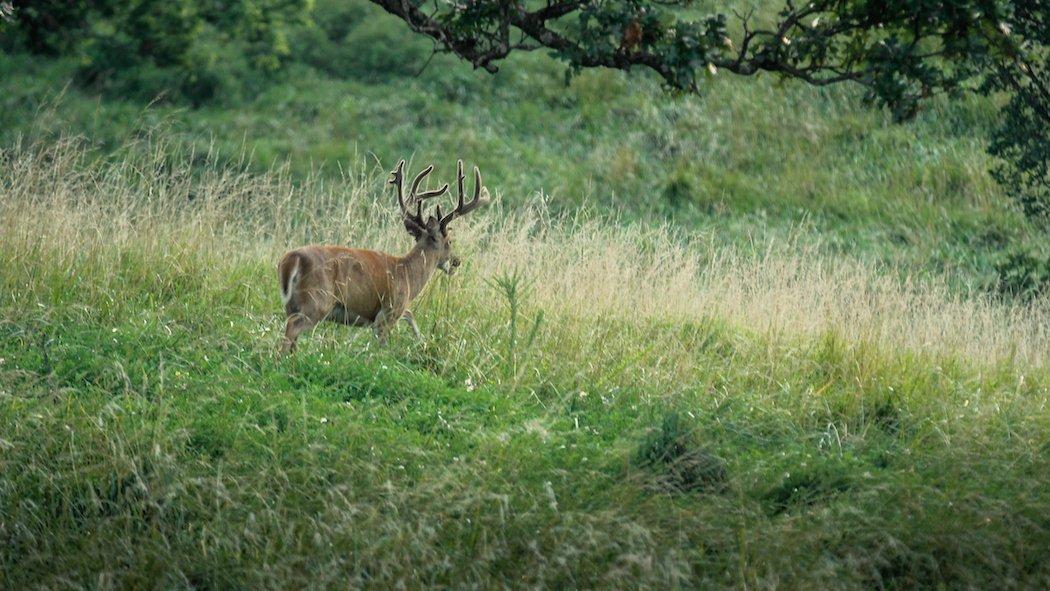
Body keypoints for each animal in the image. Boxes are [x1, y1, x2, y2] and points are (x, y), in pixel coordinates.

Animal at [279, 159, 491, 356]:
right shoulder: (390, 310)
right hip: (317, 301)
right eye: (450, 241)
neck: (408, 274)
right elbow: (383, 345)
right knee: (292, 328)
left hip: (292, 304)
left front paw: (420, 340)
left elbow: (411, 316)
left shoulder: (396, 310)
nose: (457, 261)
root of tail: (290, 260)